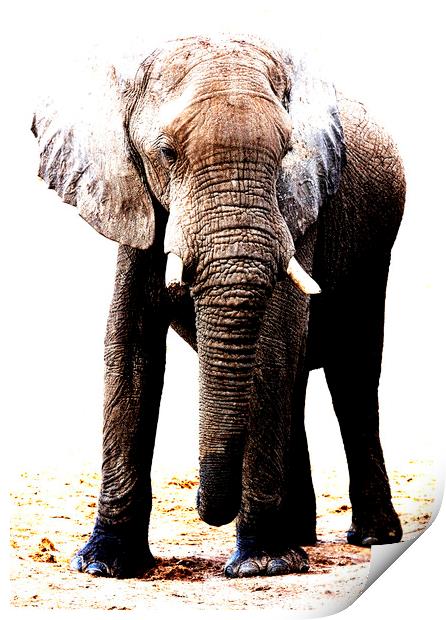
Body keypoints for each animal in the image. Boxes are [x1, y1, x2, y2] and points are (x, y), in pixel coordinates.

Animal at [32, 32, 404, 576]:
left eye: (287, 151)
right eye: (165, 153)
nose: (207, 511)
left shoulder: (300, 206)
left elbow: (274, 345)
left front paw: (262, 566)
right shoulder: (133, 198)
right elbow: (130, 348)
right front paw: (104, 565)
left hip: (376, 249)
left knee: (351, 374)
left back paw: (369, 537)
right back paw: (301, 536)